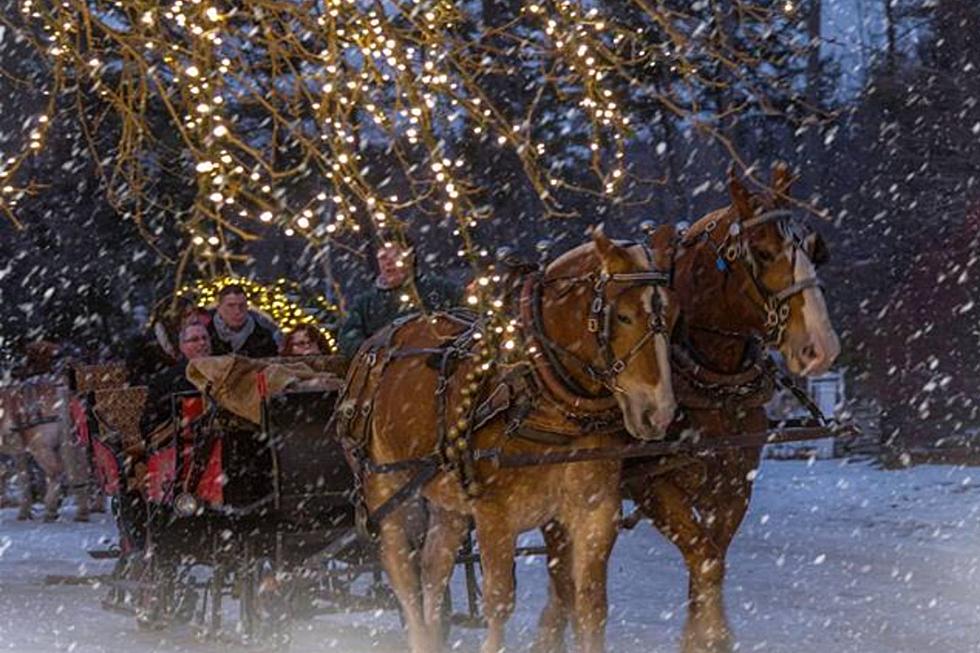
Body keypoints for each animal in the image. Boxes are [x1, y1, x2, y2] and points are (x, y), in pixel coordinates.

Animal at [340, 229, 676, 652]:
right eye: (624, 316)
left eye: (672, 315)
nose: (658, 412)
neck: (539, 391)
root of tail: (376, 341)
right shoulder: (494, 513)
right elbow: (499, 603)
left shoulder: (595, 509)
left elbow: (591, 606)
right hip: (386, 490)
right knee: (404, 578)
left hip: (448, 498)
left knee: (433, 569)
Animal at [536, 164, 844, 652]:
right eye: (762, 251)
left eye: (815, 250)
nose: (821, 347)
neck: (710, 378)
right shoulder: (653, 485)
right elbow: (704, 559)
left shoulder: (734, 484)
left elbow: (711, 563)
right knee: (559, 571)